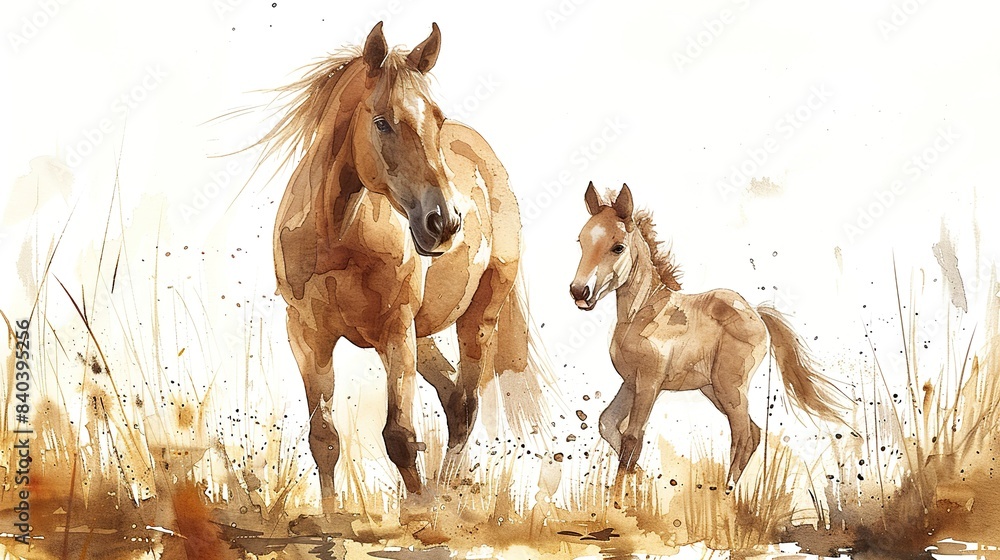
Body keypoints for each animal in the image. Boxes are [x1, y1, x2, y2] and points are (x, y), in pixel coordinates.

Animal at [261, 22, 550, 509]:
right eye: (382, 122)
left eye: (436, 118)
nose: (444, 221)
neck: (335, 236)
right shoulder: (307, 335)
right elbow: (324, 439)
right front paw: (331, 517)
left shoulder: (395, 328)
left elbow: (398, 436)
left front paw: (418, 513)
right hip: (417, 333)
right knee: (452, 398)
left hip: (477, 316)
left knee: (465, 406)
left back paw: (445, 498)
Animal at [569, 182, 847, 487]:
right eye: (581, 241)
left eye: (618, 247)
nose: (579, 291)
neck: (643, 313)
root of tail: (756, 313)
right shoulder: (630, 382)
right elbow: (608, 425)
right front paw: (641, 478)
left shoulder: (649, 383)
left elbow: (633, 439)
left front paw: (624, 494)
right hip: (713, 389)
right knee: (753, 432)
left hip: (730, 388)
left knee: (743, 435)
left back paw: (726, 492)